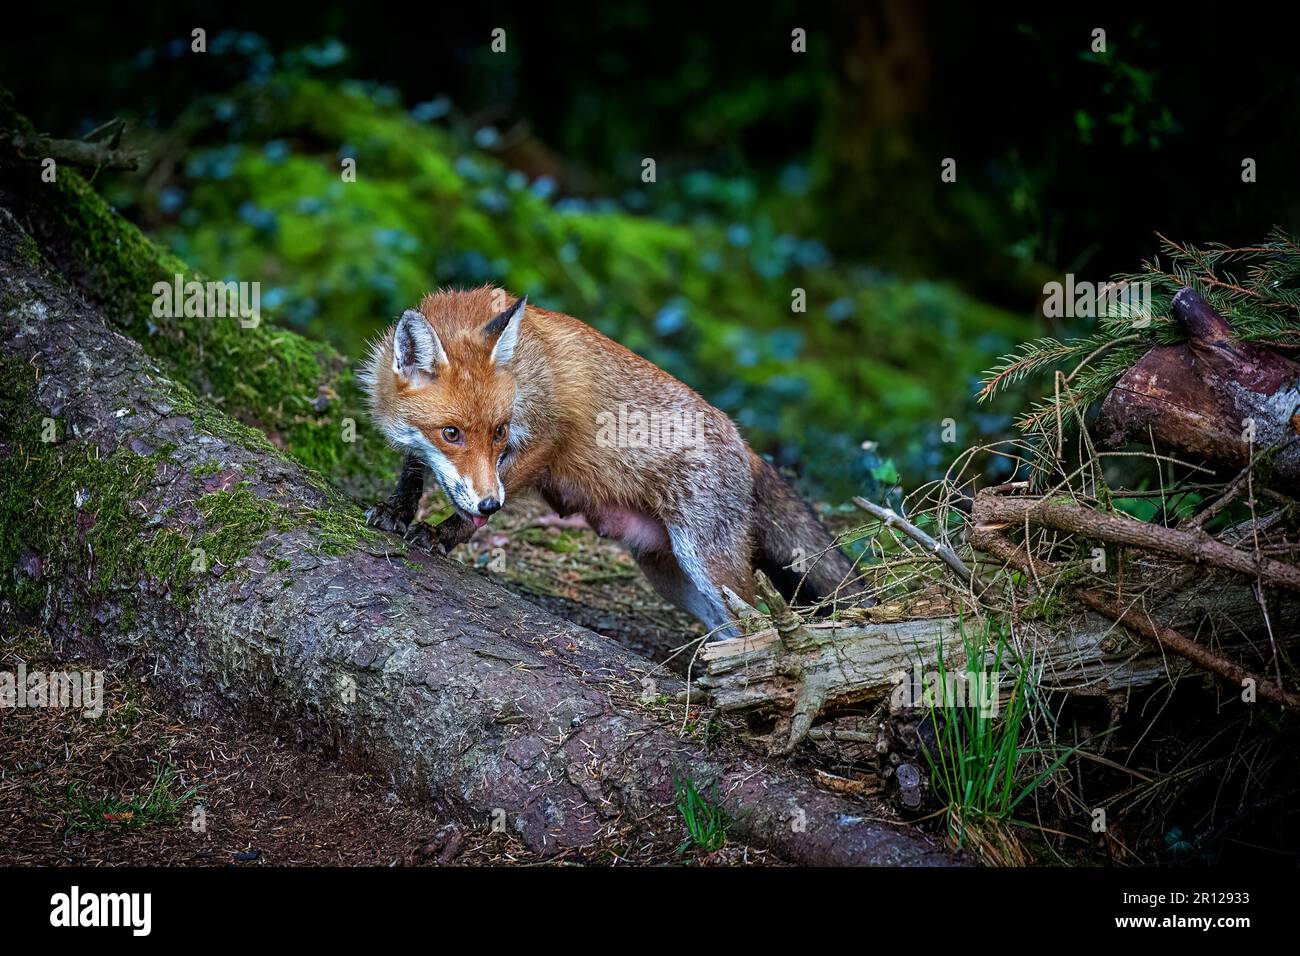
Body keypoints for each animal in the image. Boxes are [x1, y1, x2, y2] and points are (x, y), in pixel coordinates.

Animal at [361, 287, 868, 639]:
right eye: (451, 434)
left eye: (499, 432)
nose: (488, 506)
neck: (526, 371)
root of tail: (747, 446)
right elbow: (413, 467)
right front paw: (397, 509)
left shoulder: (545, 441)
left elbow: (487, 496)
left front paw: (443, 534)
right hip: (669, 575)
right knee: (729, 628)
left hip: (707, 563)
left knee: (758, 624)